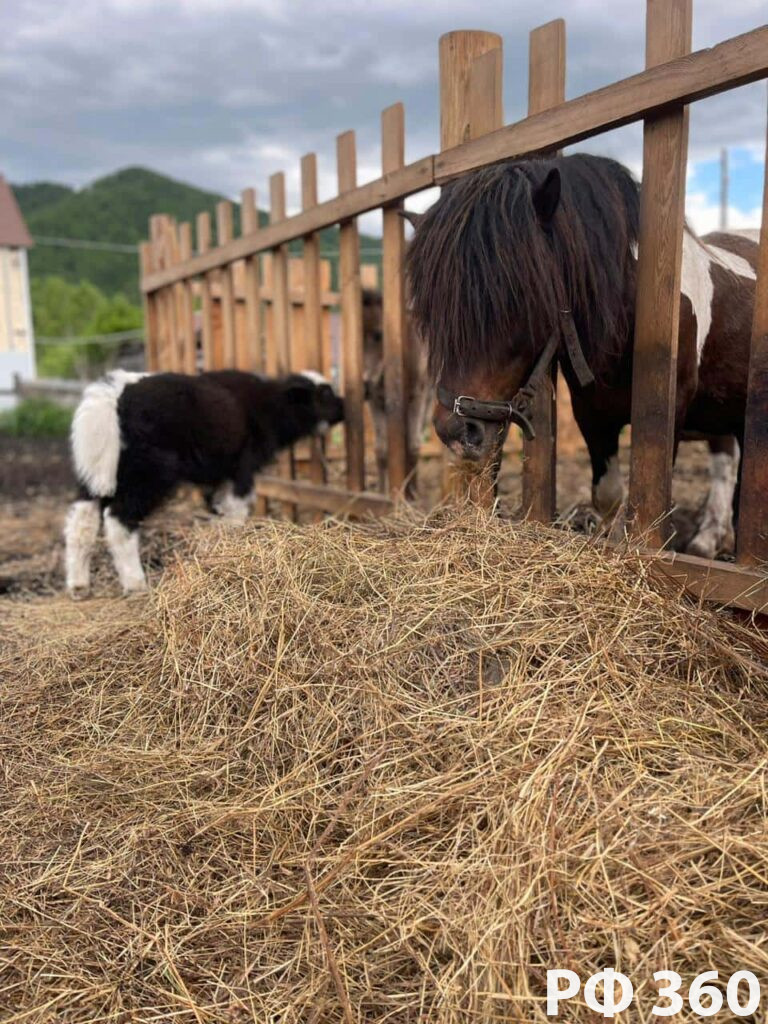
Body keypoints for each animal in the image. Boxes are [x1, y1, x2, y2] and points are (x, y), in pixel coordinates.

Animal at [65, 368, 342, 598]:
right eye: (324, 394)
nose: (343, 407)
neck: (269, 405)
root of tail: (112, 396)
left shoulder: (217, 476)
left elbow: (217, 510)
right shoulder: (241, 468)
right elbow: (235, 512)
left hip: (97, 474)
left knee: (81, 523)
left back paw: (79, 585)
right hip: (147, 474)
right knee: (119, 522)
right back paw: (135, 583)